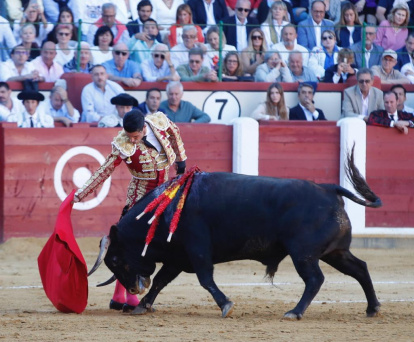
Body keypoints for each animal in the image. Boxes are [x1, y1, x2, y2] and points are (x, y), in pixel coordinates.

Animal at [90, 151, 382, 320]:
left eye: (114, 260)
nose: (132, 289)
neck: (163, 211)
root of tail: (329, 188)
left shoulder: (197, 250)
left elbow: (205, 279)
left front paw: (226, 305)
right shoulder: (178, 257)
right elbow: (162, 280)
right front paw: (143, 305)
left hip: (304, 254)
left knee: (315, 279)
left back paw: (294, 312)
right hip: (335, 252)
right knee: (360, 268)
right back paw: (372, 308)